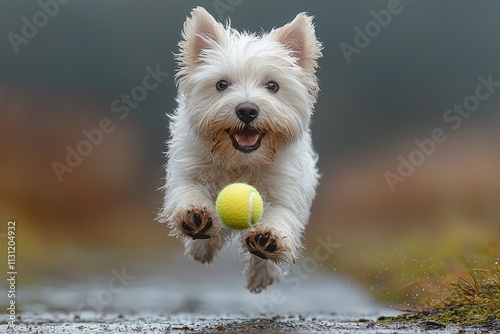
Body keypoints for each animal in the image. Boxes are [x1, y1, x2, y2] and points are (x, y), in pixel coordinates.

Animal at [160, 5, 324, 292]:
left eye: (272, 85)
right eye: (221, 84)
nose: (247, 110)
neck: (240, 161)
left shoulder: (286, 188)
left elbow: (281, 215)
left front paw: (267, 240)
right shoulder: (188, 168)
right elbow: (189, 191)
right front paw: (195, 216)